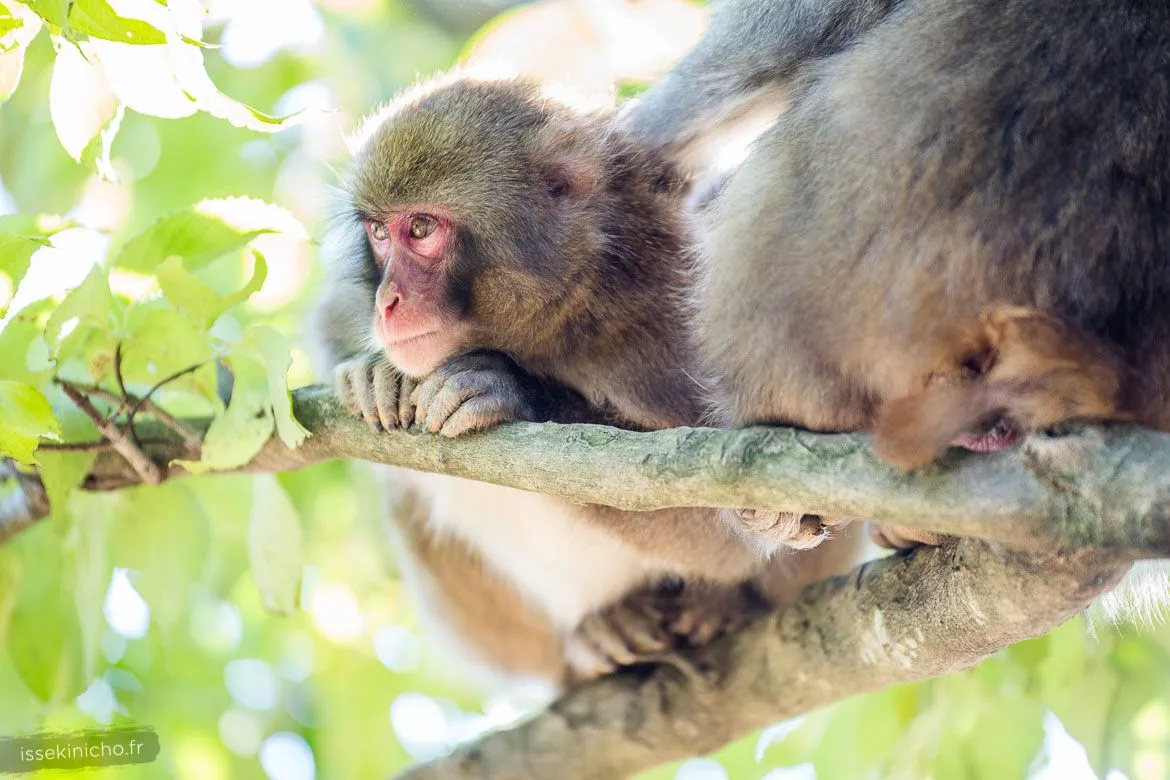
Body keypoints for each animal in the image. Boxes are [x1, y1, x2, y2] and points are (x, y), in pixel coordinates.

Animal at [309, 71, 865, 688]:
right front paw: (371, 375)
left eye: (422, 228)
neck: (566, 312)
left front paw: (512, 391)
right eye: (379, 233)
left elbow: (738, 521)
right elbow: (330, 322)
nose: (387, 302)